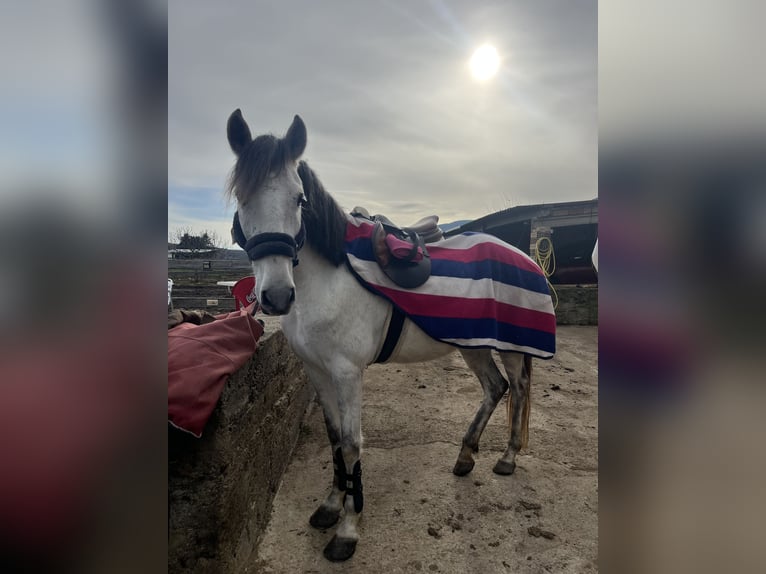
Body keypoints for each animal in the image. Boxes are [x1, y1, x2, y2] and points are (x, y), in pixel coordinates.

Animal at [225, 110, 556, 564]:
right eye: (241, 198)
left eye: (298, 199)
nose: (276, 296)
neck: (326, 281)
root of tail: (526, 257)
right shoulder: (316, 369)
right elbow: (333, 438)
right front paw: (330, 507)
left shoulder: (347, 373)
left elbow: (351, 444)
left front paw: (347, 531)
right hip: (472, 344)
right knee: (496, 388)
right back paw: (465, 456)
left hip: (511, 345)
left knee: (518, 388)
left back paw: (506, 458)